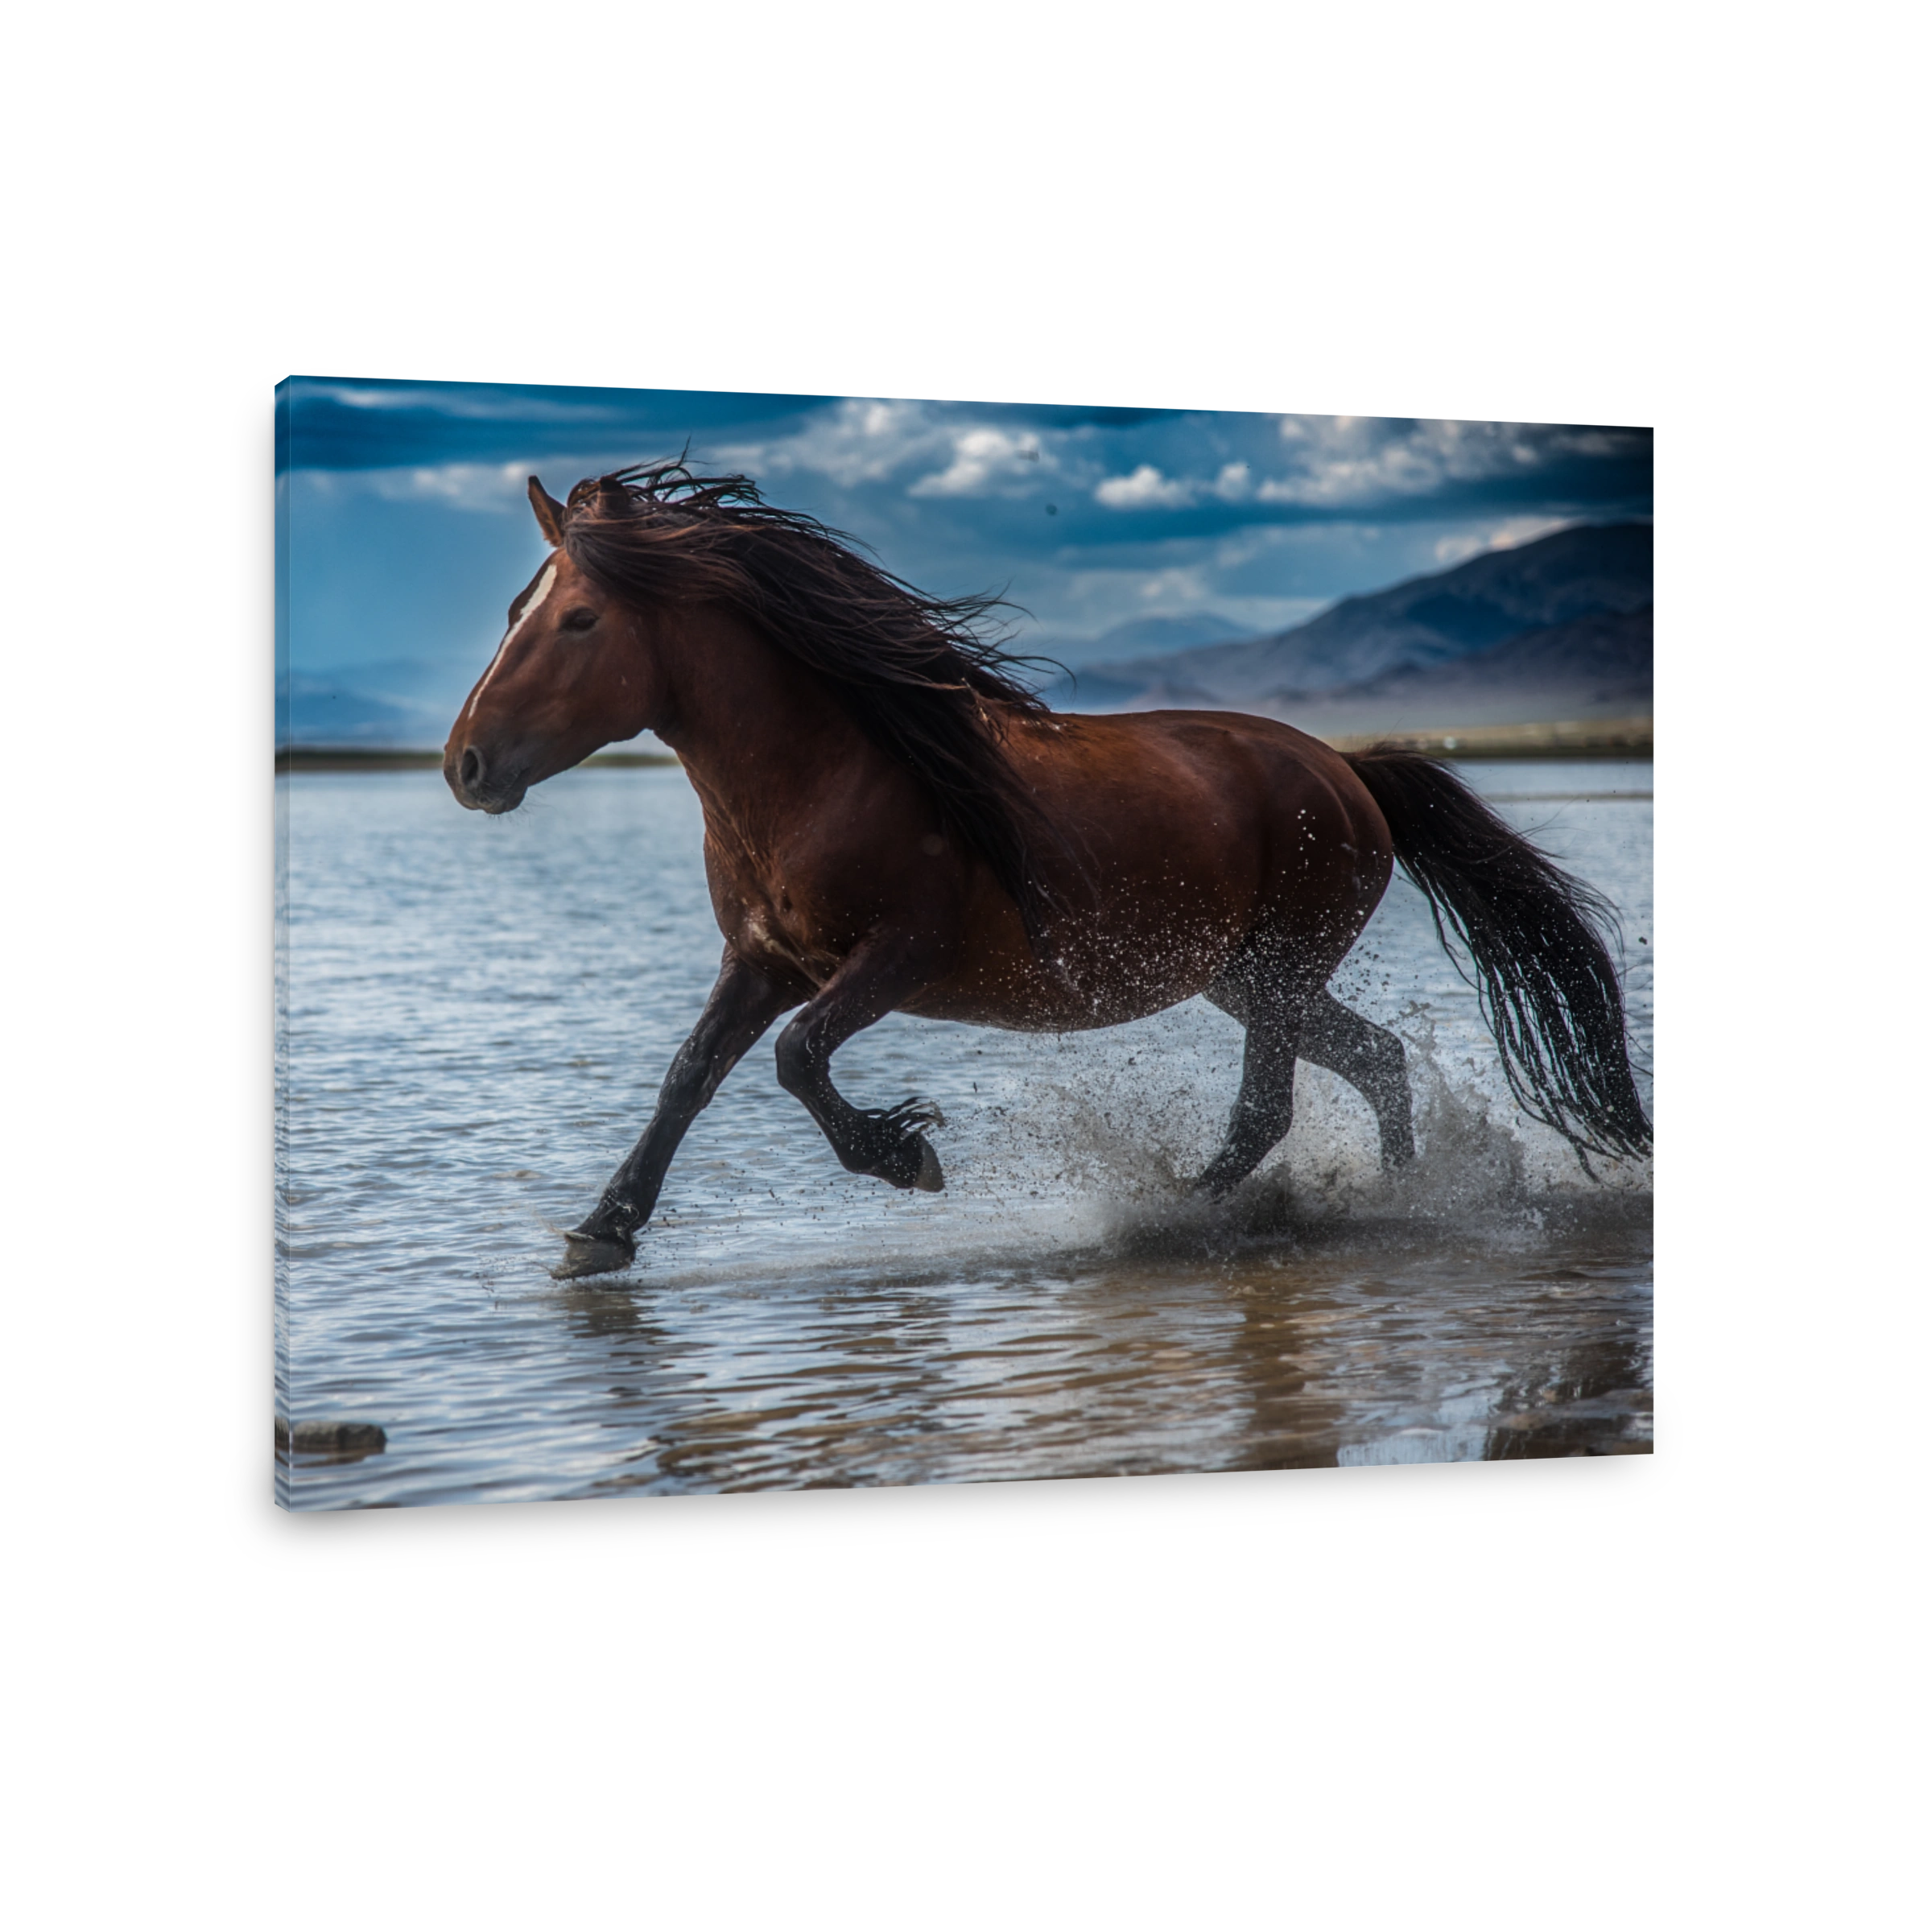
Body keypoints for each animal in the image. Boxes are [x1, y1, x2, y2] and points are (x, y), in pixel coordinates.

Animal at [444, 462, 1652, 1282]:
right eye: (511, 612)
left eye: (579, 619)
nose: (465, 765)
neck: (822, 776)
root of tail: (1347, 770)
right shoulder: (762, 961)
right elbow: (689, 1078)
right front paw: (600, 1234)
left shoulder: (897, 955)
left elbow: (795, 1060)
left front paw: (904, 1156)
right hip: (1250, 978)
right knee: (1380, 1062)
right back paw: (1404, 1193)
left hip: (1278, 972)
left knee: (1266, 1111)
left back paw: (1179, 1216)